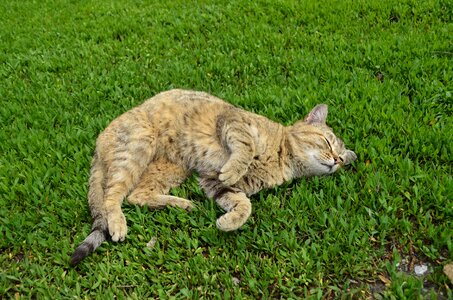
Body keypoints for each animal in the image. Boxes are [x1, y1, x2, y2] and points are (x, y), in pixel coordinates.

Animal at [69, 88, 356, 264]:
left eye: (342, 158)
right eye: (326, 142)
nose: (336, 161)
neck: (282, 160)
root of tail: (98, 144)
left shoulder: (211, 182)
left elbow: (244, 205)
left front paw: (228, 222)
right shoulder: (232, 122)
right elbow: (244, 148)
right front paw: (235, 167)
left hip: (172, 169)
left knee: (137, 196)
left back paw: (184, 204)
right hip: (139, 146)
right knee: (112, 195)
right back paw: (118, 223)